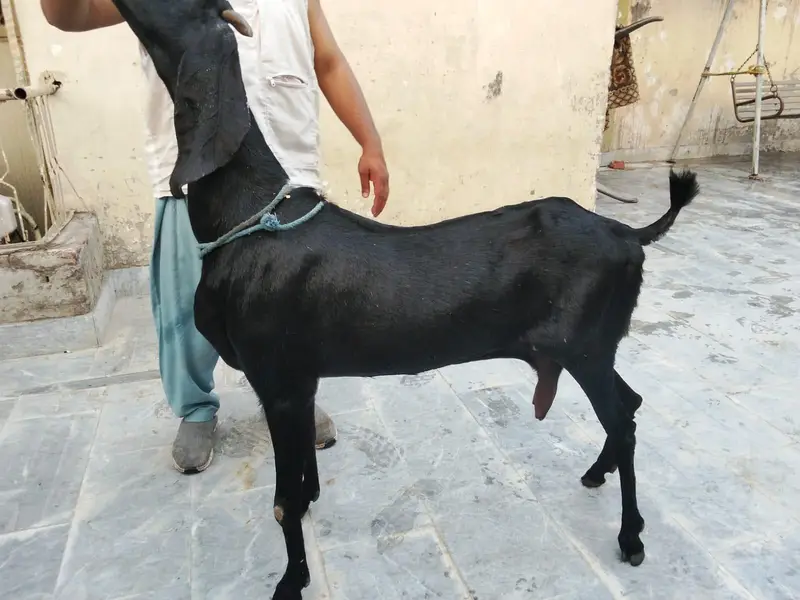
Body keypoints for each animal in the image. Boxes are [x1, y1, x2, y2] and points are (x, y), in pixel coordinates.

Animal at [111, 0, 699, 597]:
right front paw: (311, 512)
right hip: (588, 349)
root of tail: (626, 233)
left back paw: (631, 535)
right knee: (628, 406)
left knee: (623, 417)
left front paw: (291, 580)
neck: (251, 216)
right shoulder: (300, 380)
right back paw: (598, 472)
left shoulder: (275, 379)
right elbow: (299, 484)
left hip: (584, 347)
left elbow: (282, 502)